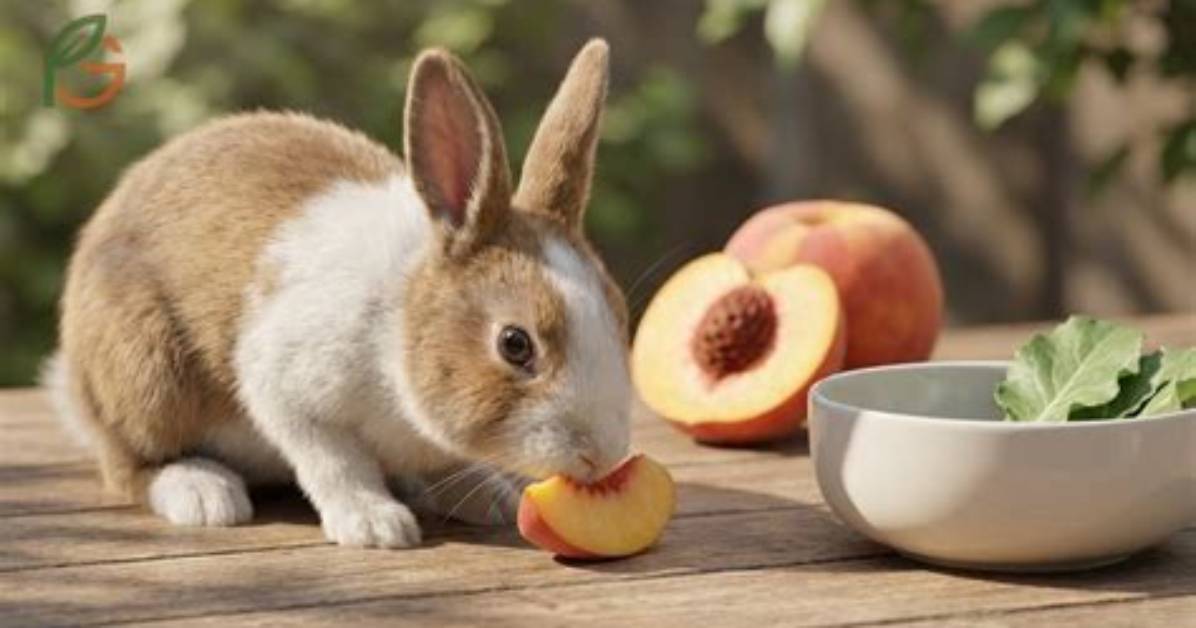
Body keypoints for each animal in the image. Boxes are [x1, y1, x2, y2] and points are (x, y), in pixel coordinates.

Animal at [43, 39, 632, 548]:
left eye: (619, 313)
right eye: (515, 343)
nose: (602, 458)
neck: (396, 328)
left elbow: (446, 462)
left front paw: (488, 498)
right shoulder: (287, 391)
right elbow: (336, 461)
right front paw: (375, 524)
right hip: (146, 376)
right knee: (128, 465)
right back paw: (204, 493)